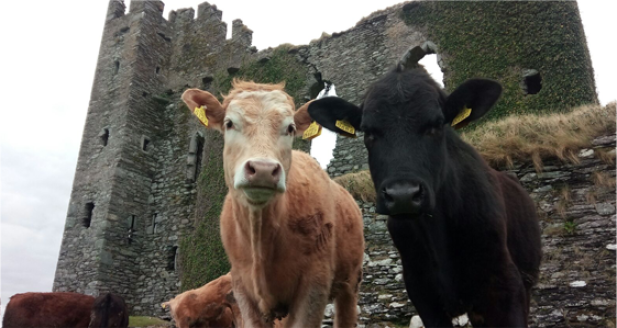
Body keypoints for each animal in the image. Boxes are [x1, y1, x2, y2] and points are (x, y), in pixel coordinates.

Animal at [183, 80, 366, 328]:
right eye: (229, 123)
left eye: (290, 128)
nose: (263, 169)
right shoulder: (241, 289)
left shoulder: (314, 286)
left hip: (351, 281)